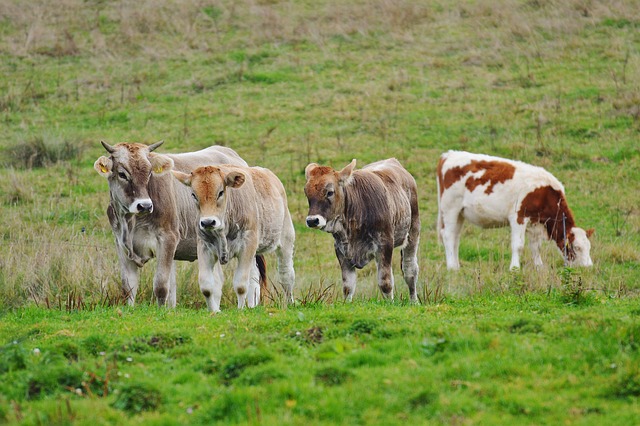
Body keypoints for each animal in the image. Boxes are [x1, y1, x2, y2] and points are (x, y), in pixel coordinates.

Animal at [94, 141, 266, 308]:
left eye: (149, 172)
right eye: (122, 174)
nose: (144, 206)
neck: (131, 222)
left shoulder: (167, 239)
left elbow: (161, 285)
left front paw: (161, 312)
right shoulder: (121, 244)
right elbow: (129, 286)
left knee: (252, 276)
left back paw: (251, 306)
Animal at [174, 163, 296, 310]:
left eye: (220, 192)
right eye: (194, 195)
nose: (208, 222)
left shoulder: (247, 245)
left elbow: (241, 285)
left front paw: (240, 309)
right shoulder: (204, 247)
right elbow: (207, 286)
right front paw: (214, 311)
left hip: (286, 238)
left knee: (286, 275)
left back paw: (290, 303)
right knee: (254, 278)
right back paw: (252, 306)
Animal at [304, 158, 420, 302]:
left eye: (330, 192)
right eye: (306, 192)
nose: (312, 220)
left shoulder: (385, 244)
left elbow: (385, 283)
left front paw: (390, 304)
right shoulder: (341, 250)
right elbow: (348, 286)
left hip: (413, 232)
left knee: (410, 270)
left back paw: (414, 301)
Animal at [436, 151, 596, 270]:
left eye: (589, 247)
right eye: (577, 247)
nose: (588, 267)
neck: (544, 193)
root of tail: (448, 155)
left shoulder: (535, 222)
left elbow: (535, 247)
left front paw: (539, 267)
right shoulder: (519, 217)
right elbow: (518, 245)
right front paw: (514, 268)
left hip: (460, 213)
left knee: (456, 237)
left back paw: (456, 265)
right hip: (450, 208)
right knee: (448, 235)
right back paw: (452, 267)